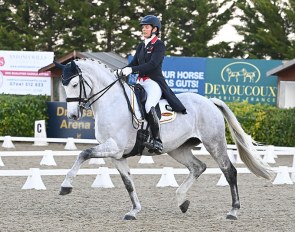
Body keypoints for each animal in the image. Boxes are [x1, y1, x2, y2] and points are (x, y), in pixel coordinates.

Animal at [54, 58, 274, 221]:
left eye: (75, 84)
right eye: (63, 86)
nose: (73, 115)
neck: (112, 102)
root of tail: (209, 101)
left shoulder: (114, 147)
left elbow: (83, 153)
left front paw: (66, 186)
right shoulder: (117, 155)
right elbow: (128, 183)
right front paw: (134, 211)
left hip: (214, 143)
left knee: (229, 171)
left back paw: (233, 211)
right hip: (178, 149)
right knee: (198, 167)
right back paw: (182, 201)